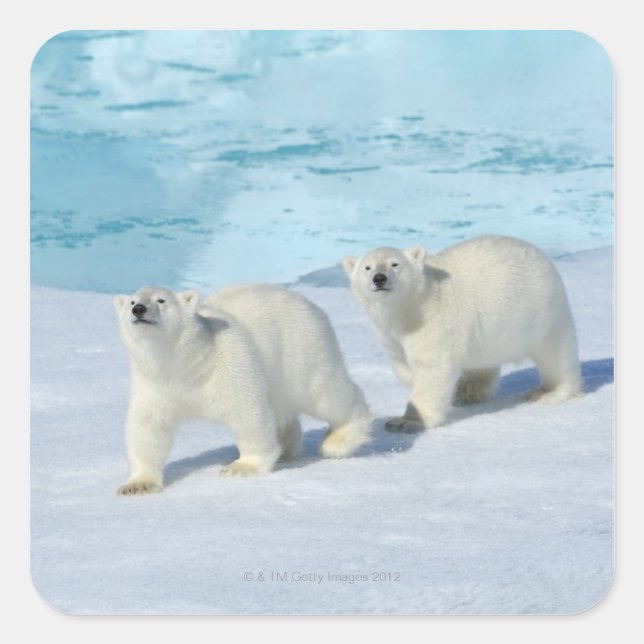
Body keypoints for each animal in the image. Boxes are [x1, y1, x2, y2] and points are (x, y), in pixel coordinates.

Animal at [113, 283, 372, 494]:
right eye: (132, 302)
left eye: (161, 300)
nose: (139, 310)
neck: (186, 365)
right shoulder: (155, 384)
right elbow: (147, 426)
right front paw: (137, 485)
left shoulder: (229, 362)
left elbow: (248, 411)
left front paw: (241, 467)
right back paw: (286, 450)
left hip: (302, 351)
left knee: (327, 394)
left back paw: (338, 441)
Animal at [342, 234, 582, 432]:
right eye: (367, 267)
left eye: (395, 264)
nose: (379, 278)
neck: (410, 310)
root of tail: (540, 255)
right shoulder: (391, 336)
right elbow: (403, 365)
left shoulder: (432, 323)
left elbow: (433, 368)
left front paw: (406, 421)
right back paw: (469, 390)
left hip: (543, 311)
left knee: (556, 354)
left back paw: (549, 392)